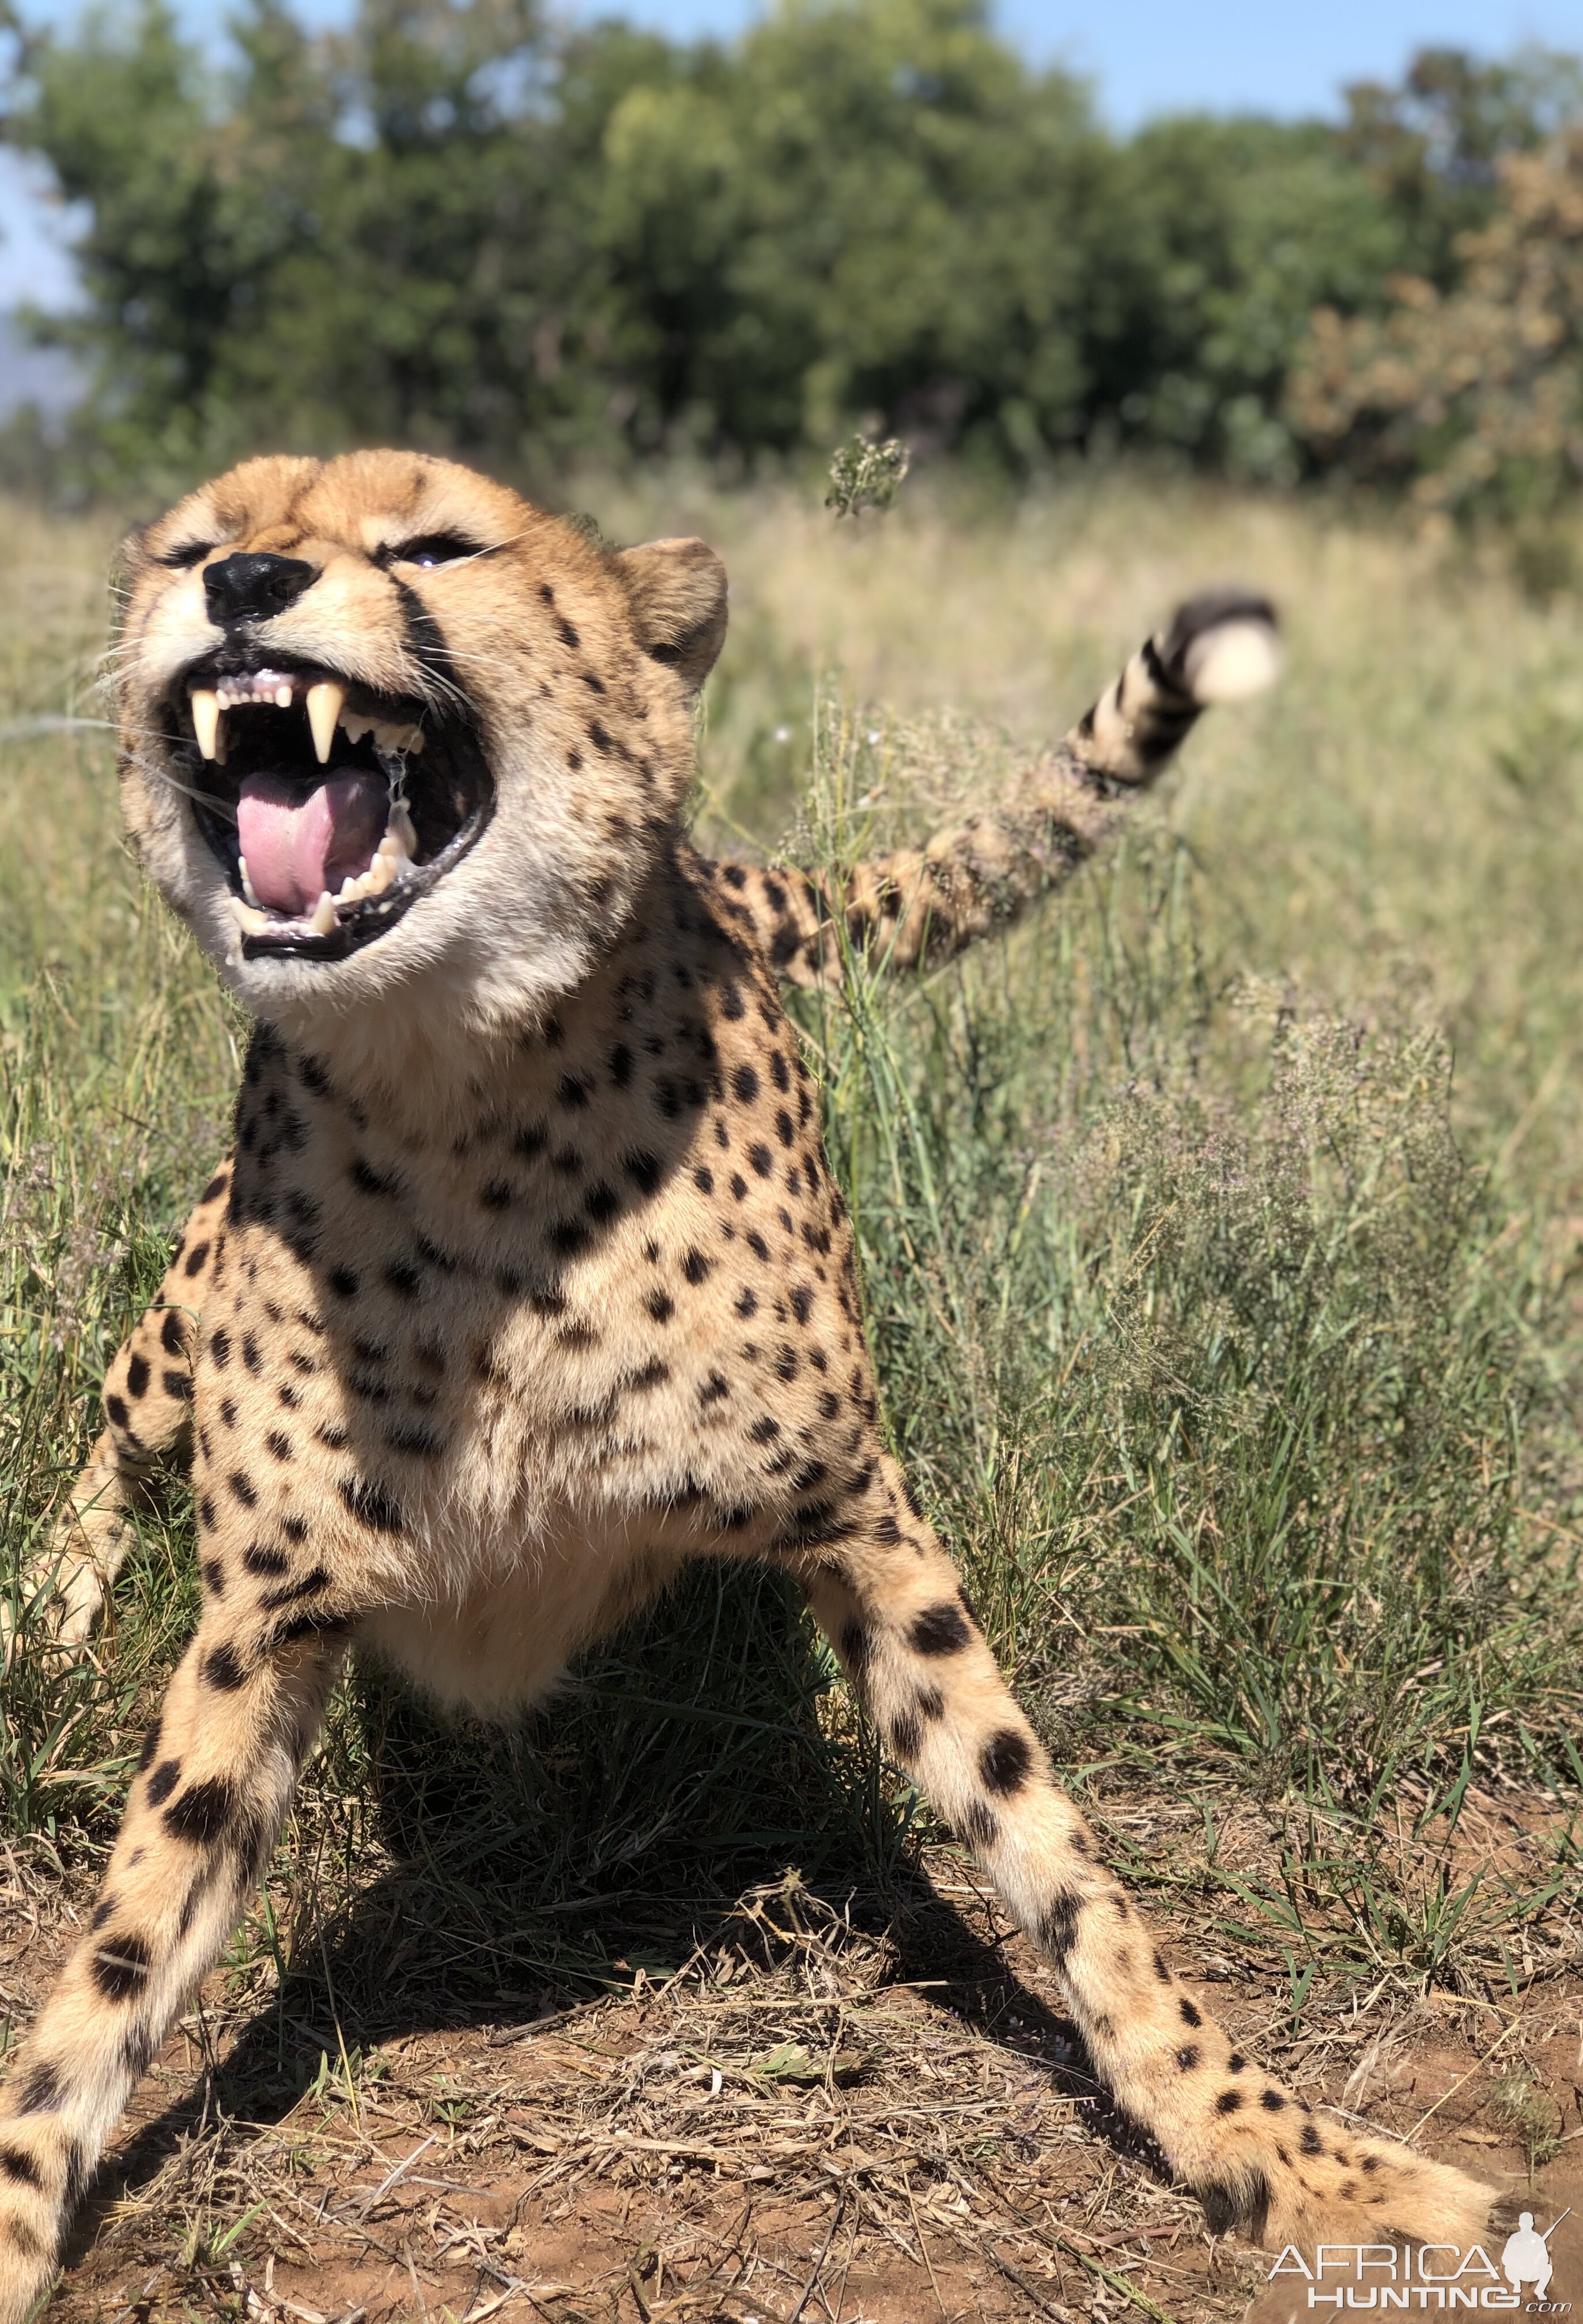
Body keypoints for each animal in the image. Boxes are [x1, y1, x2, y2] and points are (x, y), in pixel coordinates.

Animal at [0, 448, 1497, 2305]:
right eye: (190, 548)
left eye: (435, 545)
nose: (246, 585)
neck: (462, 1095)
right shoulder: (262, 1624)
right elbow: (120, 1952)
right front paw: (22, 2201)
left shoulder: (865, 1530)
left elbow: (1059, 1862)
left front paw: (1272, 2148)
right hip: (172, 1333)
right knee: (109, 1441)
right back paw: (44, 1625)